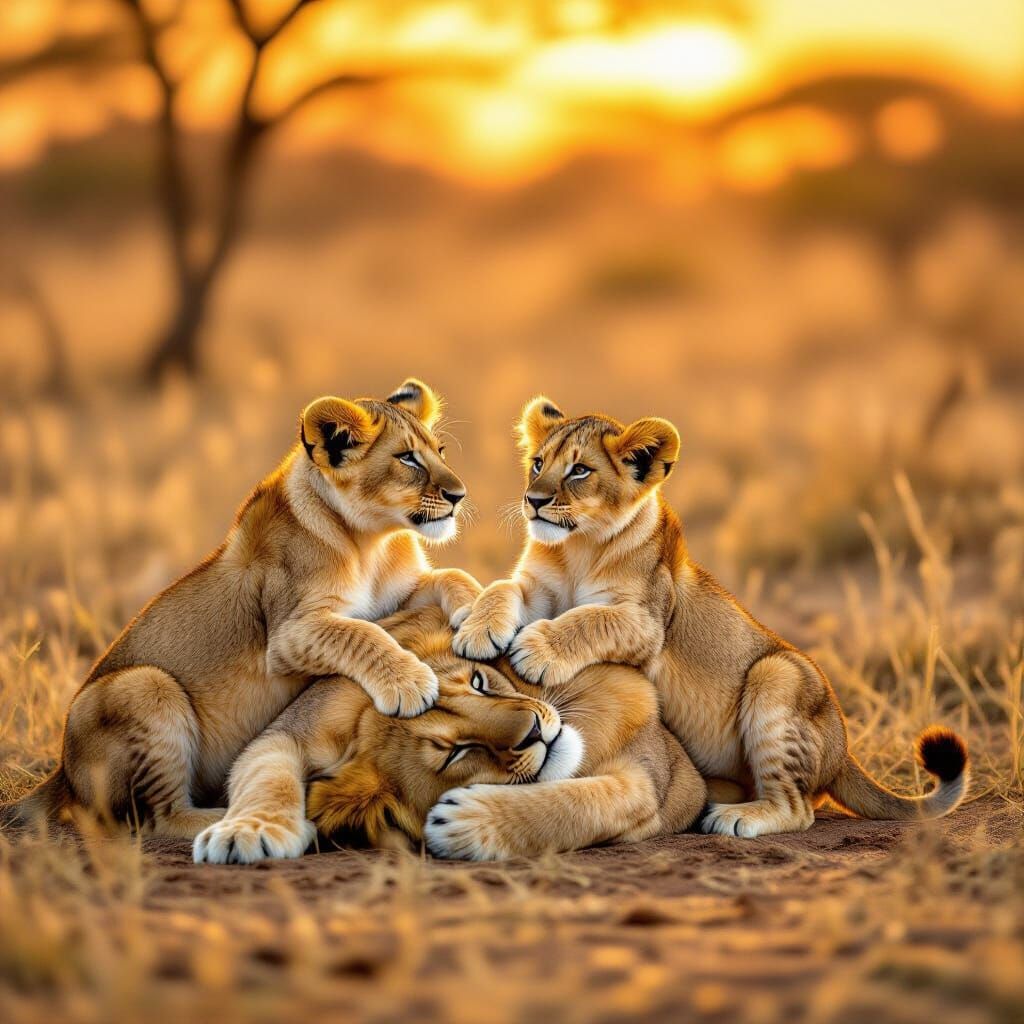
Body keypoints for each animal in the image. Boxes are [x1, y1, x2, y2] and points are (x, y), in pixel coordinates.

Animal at [6, 380, 482, 839]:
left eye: (439, 452)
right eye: (407, 458)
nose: (460, 494)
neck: (372, 543)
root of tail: (60, 773)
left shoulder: (399, 592)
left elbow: (452, 575)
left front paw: (479, 621)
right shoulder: (288, 636)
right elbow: (362, 633)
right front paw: (410, 684)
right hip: (142, 685)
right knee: (156, 819)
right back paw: (232, 816)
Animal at [192, 604, 708, 863]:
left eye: (479, 682)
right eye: (456, 753)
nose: (535, 732)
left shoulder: (654, 776)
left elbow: (585, 801)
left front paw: (466, 823)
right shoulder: (288, 732)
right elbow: (267, 775)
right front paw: (246, 833)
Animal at [453, 396, 969, 838]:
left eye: (580, 470)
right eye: (539, 463)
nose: (533, 500)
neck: (576, 548)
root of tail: (844, 755)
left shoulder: (646, 622)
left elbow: (589, 620)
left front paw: (536, 651)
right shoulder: (537, 587)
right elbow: (501, 588)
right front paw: (474, 628)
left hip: (777, 674)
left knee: (799, 807)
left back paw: (735, 818)